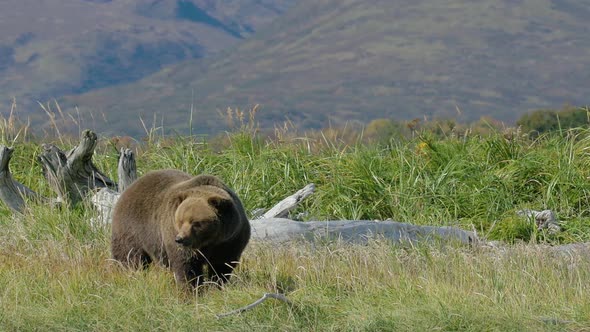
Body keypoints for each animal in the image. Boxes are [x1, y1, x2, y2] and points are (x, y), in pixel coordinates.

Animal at [111, 169, 252, 288]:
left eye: (196, 223)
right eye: (180, 220)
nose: (180, 239)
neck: (209, 241)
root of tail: (131, 186)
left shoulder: (230, 240)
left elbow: (222, 266)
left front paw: (216, 285)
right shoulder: (176, 238)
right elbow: (186, 266)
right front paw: (192, 288)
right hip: (132, 229)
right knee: (129, 257)